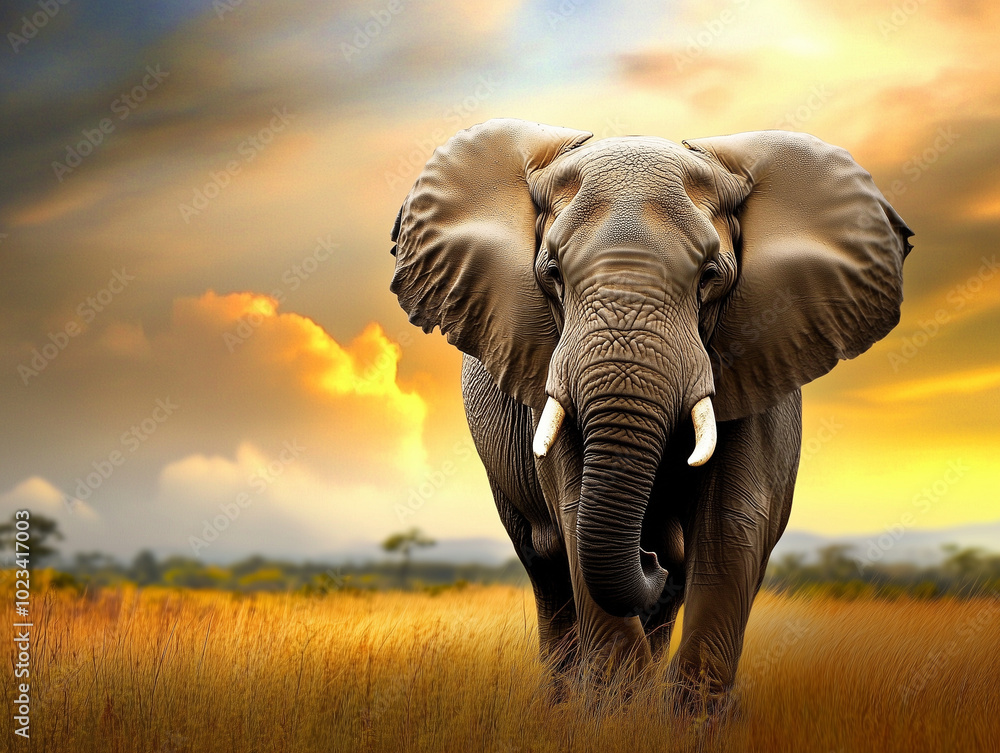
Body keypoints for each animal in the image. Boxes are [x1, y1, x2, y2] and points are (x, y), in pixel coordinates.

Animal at [388, 118, 912, 705]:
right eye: (552, 274)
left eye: (710, 277)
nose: (650, 559)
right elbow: (574, 513)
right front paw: (617, 708)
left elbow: (732, 523)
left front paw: (688, 712)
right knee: (546, 569)